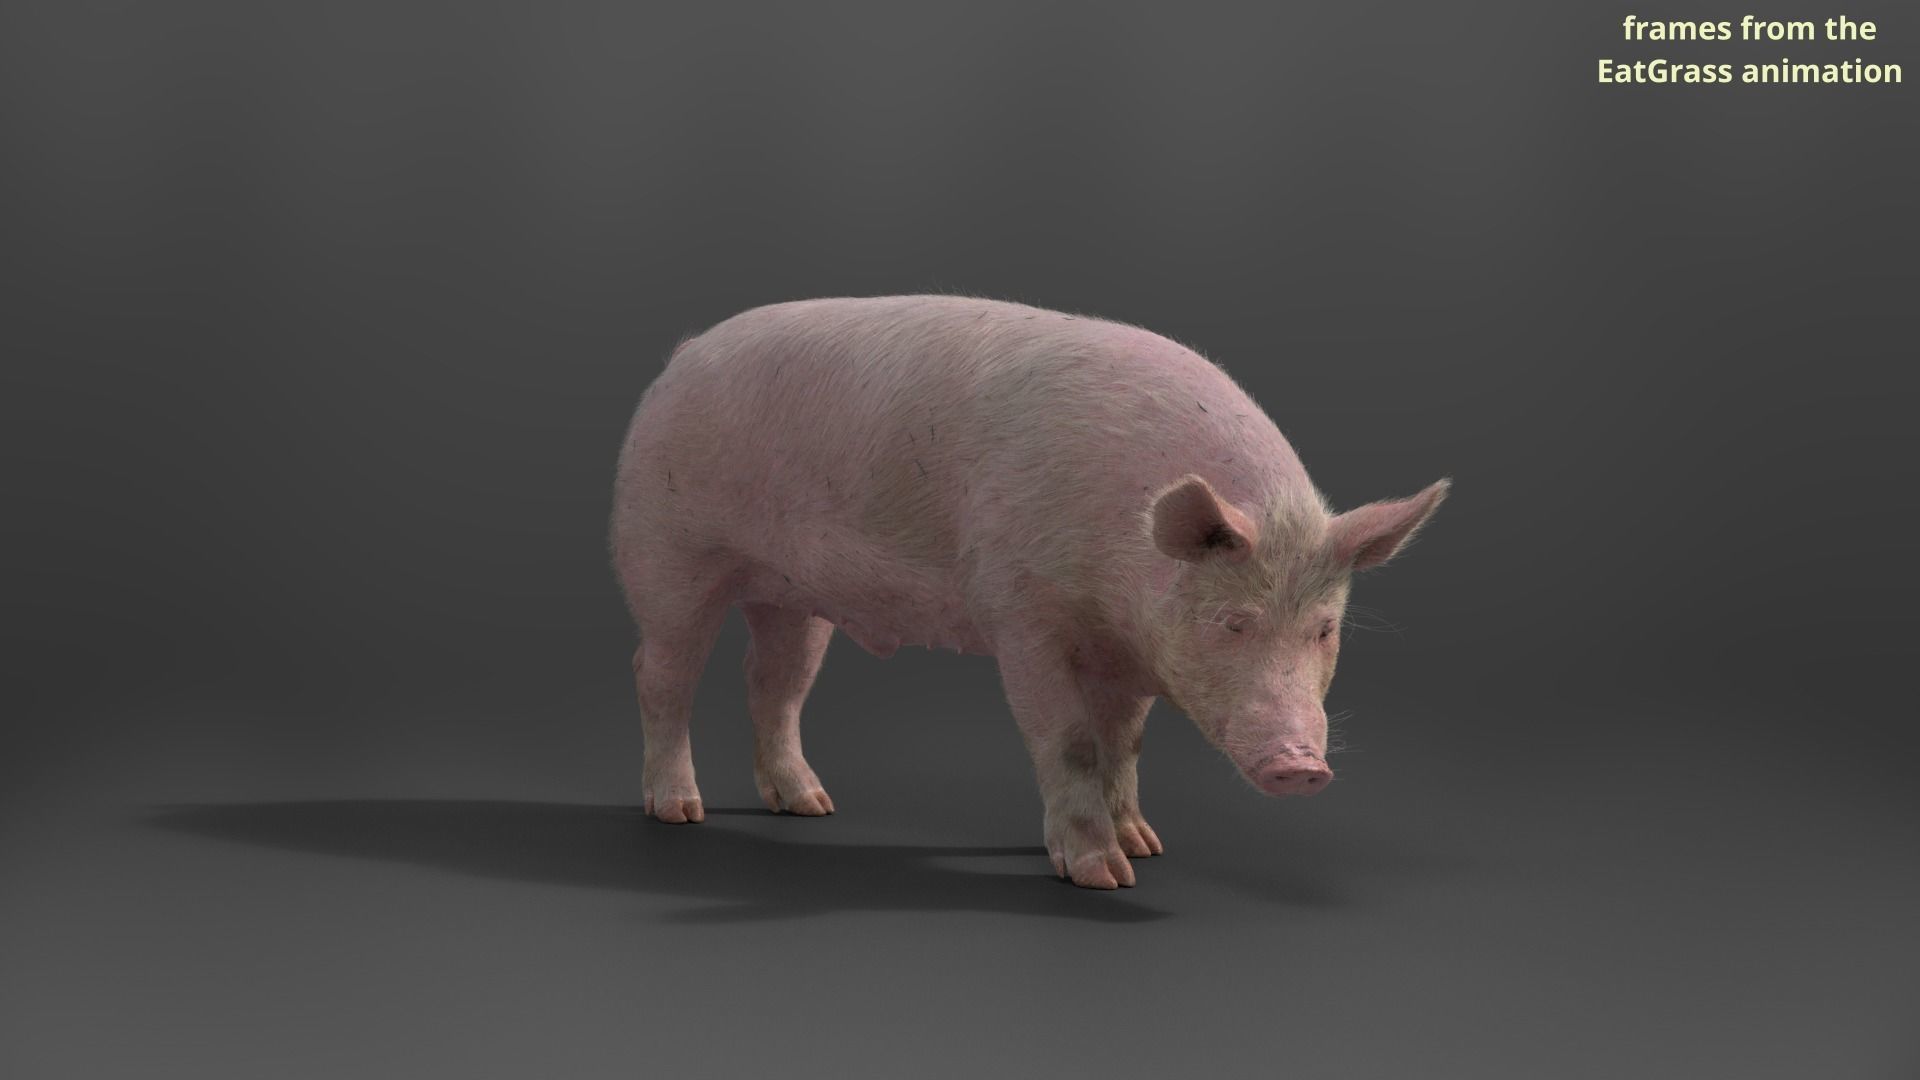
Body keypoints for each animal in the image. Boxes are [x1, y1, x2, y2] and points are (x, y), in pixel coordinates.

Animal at [610, 295, 1449, 889]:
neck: (1120, 581)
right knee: (661, 672)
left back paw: (814, 804)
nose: (1302, 766)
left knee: (774, 680)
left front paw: (1146, 846)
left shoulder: (1127, 653)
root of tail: (680, 356)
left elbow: (1124, 744)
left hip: (792, 593)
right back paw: (680, 811)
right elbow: (1069, 738)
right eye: (1231, 622)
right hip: (666, 548)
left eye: (1324, 629)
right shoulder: (1021, 613)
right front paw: (1104, 876)